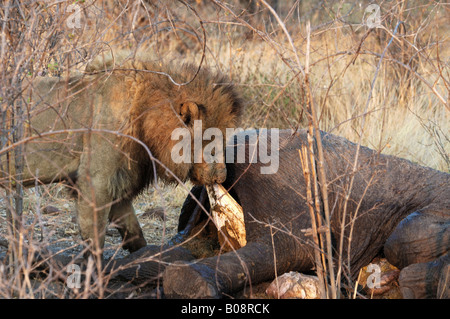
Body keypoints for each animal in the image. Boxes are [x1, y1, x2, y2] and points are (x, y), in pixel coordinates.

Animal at [0, 58, 243, 255]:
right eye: (211, 143)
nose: (222, 175)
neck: (143, 113)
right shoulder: (95, 182)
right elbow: (95, 238)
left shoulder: (119, 181)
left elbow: (134, 232)